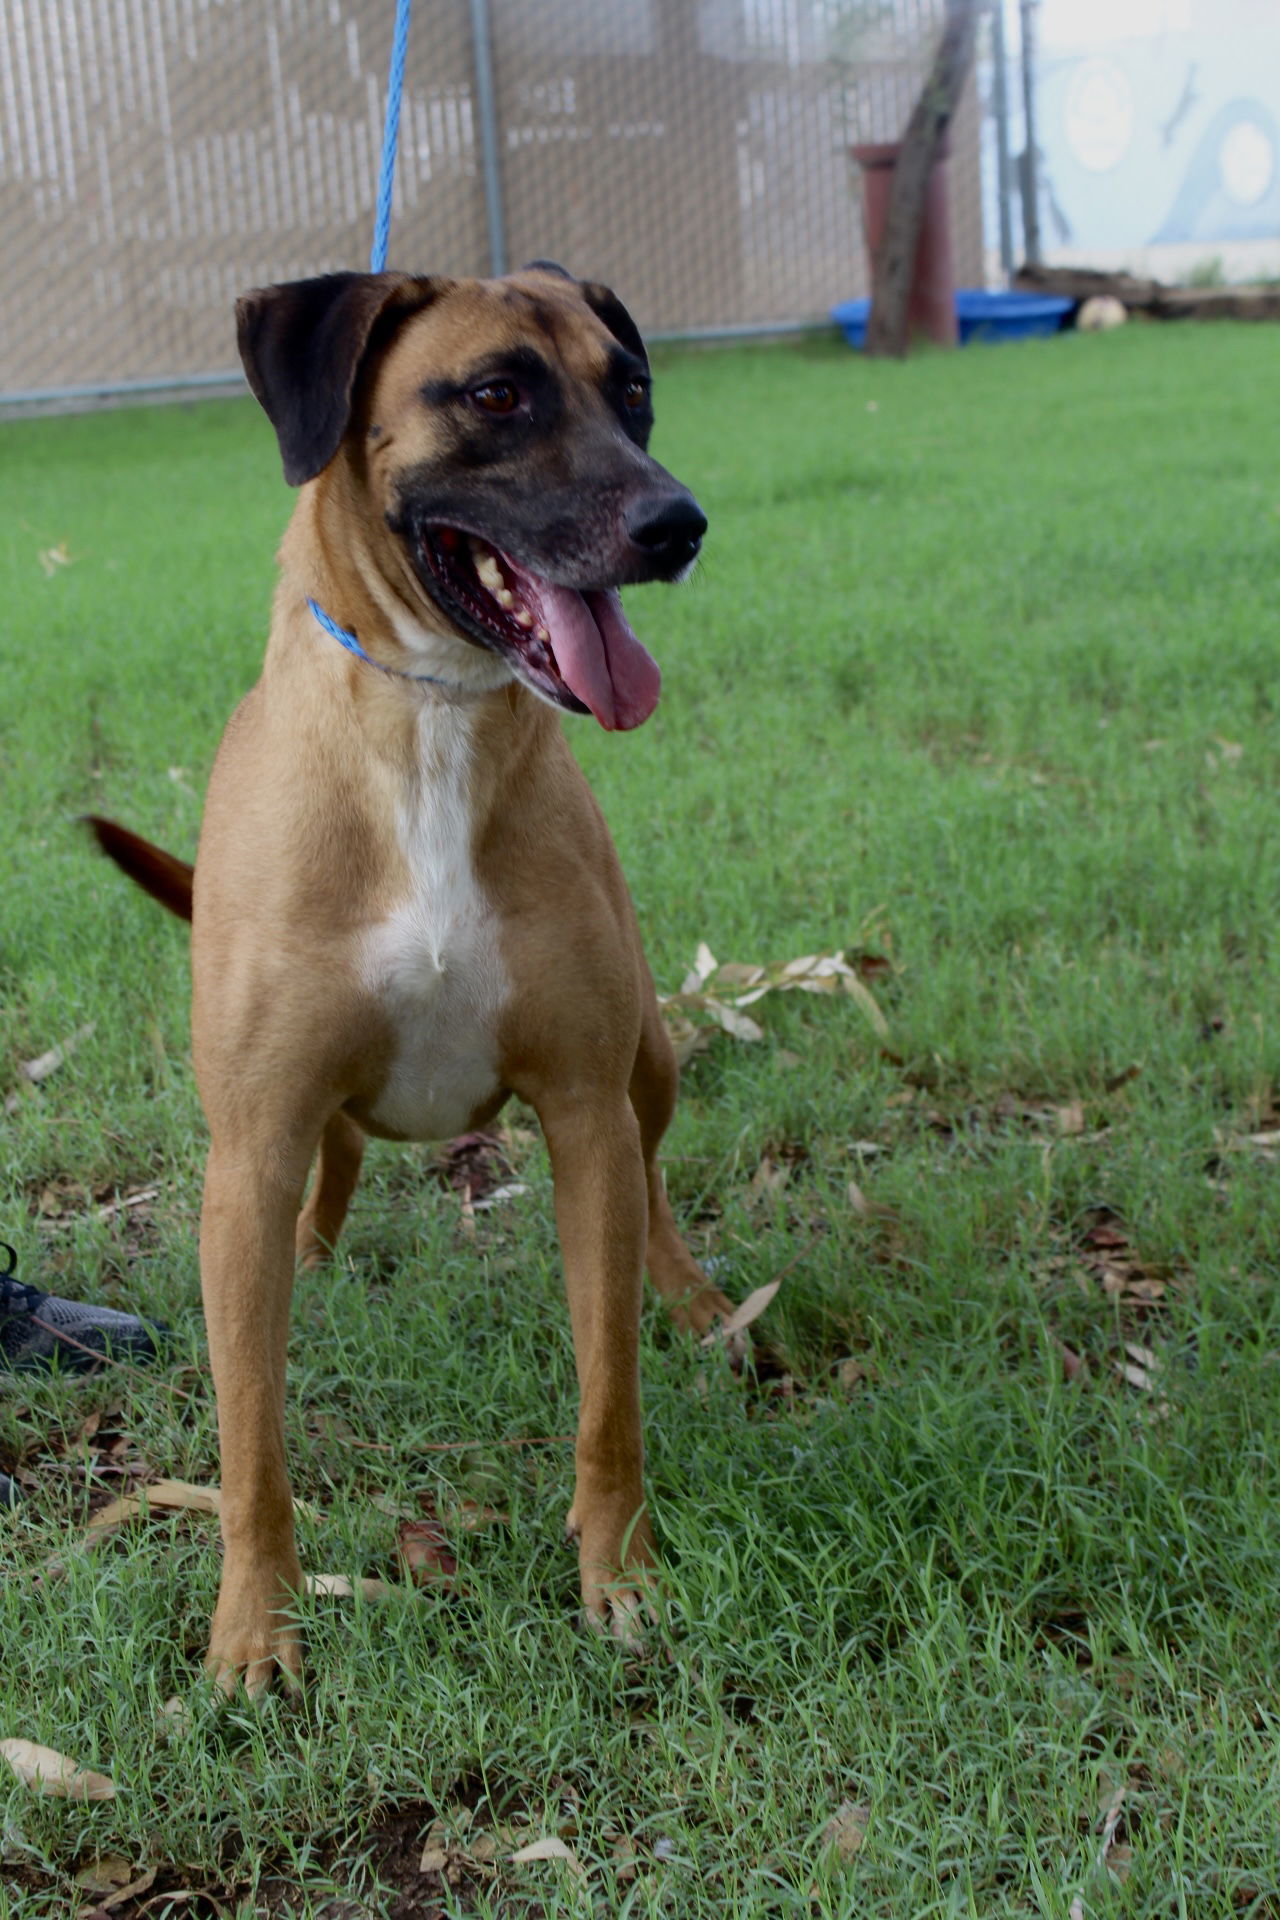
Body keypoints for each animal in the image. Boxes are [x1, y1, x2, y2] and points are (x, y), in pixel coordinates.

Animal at [92, 263, 740, 1689]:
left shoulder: (583, 1113)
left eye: (631, 388)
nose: (677, 524)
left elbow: (607, 1392)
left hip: (649, 1055)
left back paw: (689, 1295)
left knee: (656, 1175)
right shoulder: (250, 1138)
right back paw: (315, 1251)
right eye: (495, 393)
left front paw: (619, 1571)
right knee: (328, 1160)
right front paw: (254, 1627)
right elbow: (250, 1438)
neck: (432, 715)